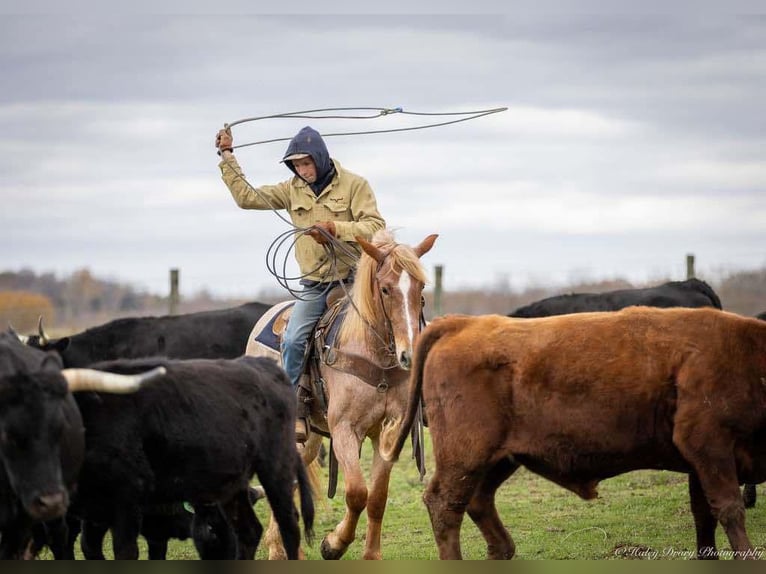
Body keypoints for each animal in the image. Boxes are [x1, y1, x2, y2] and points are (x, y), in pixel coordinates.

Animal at [67, 356, 316, 564]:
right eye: (211, 530)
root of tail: (265, 366)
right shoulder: (104, 518)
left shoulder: (125, 506)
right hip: (233, 486)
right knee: (250, 531)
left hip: (276, 467)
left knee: (289, 524)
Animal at [246, 227, 438, 560]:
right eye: (385, 289)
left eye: (421, 286)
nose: (409, 355)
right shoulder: (345, 430)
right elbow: (357, 493)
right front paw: (333, 544)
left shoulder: (388, 431)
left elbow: (376, 497)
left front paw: (371, 555)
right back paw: (276, 550)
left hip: (308, 438)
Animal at [384, 310, 766, 564]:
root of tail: (462, 323)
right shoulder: (710, 448)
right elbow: (729, 509)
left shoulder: (699, 463)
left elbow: (705, 516)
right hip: (465, 456)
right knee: (445, 504)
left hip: (499, 458)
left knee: (479, 499)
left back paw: (503, 551)